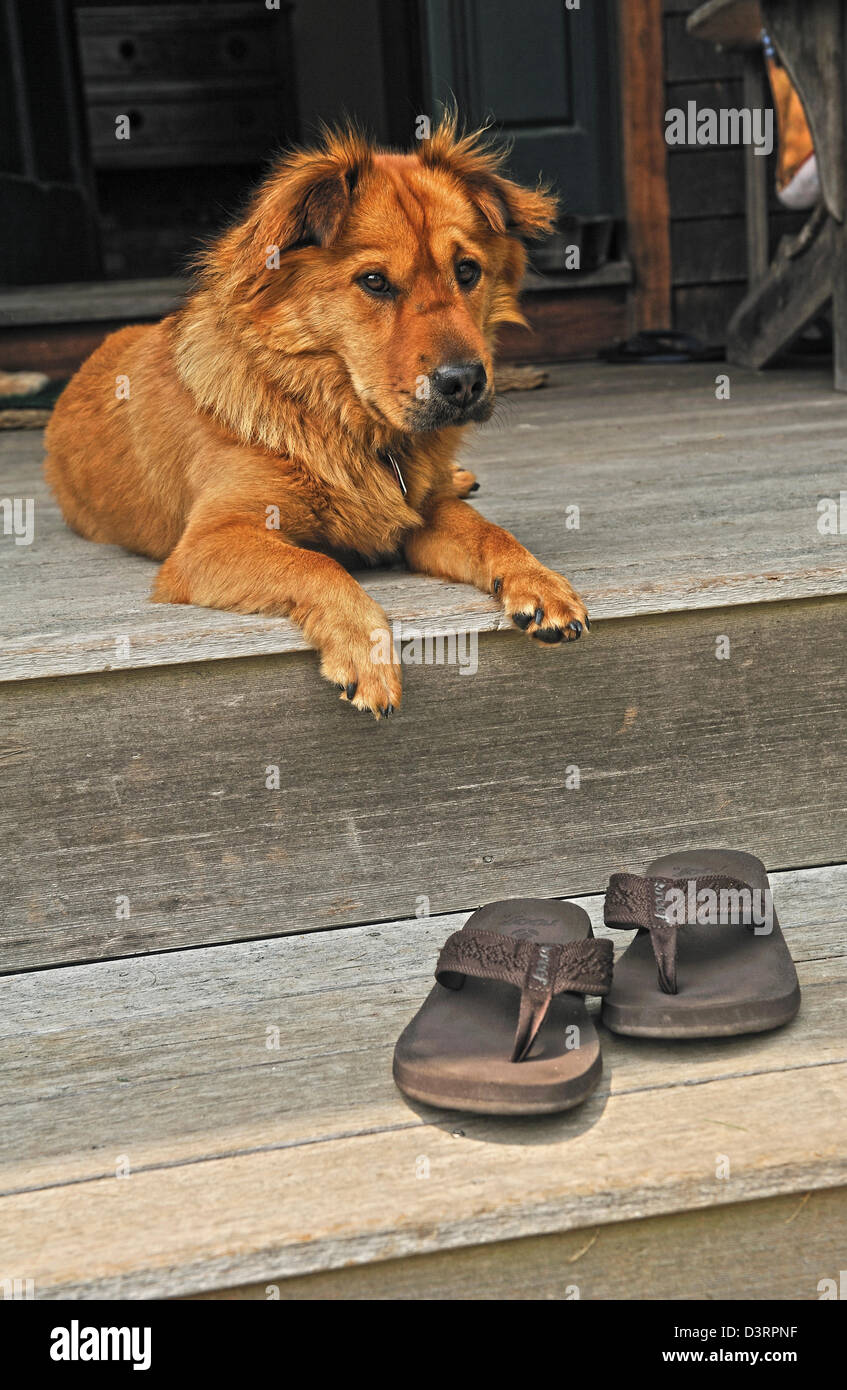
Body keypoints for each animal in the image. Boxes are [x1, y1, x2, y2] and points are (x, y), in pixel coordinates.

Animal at [44, 116, 586, 717]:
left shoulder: (421, 516)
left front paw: (539, 581)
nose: (465, 382)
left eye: (467, 272)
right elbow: (317, 565)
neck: (339, 420)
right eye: (374, 281)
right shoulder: (209, 543)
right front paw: (367, 655)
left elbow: (489, 532)